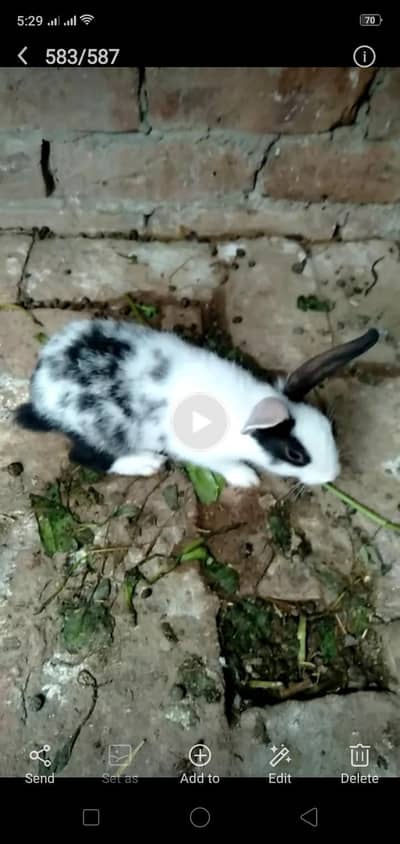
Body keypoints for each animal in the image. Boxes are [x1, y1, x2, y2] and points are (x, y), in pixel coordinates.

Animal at [14, 318, 380, 488]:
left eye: (330, 428)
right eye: (295, 454)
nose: (332, 475)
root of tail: (41, 387)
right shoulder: (202, 452)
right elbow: (225, 465)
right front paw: (246, 478)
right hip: (96, 430)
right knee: (85, 457)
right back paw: (146, 463)